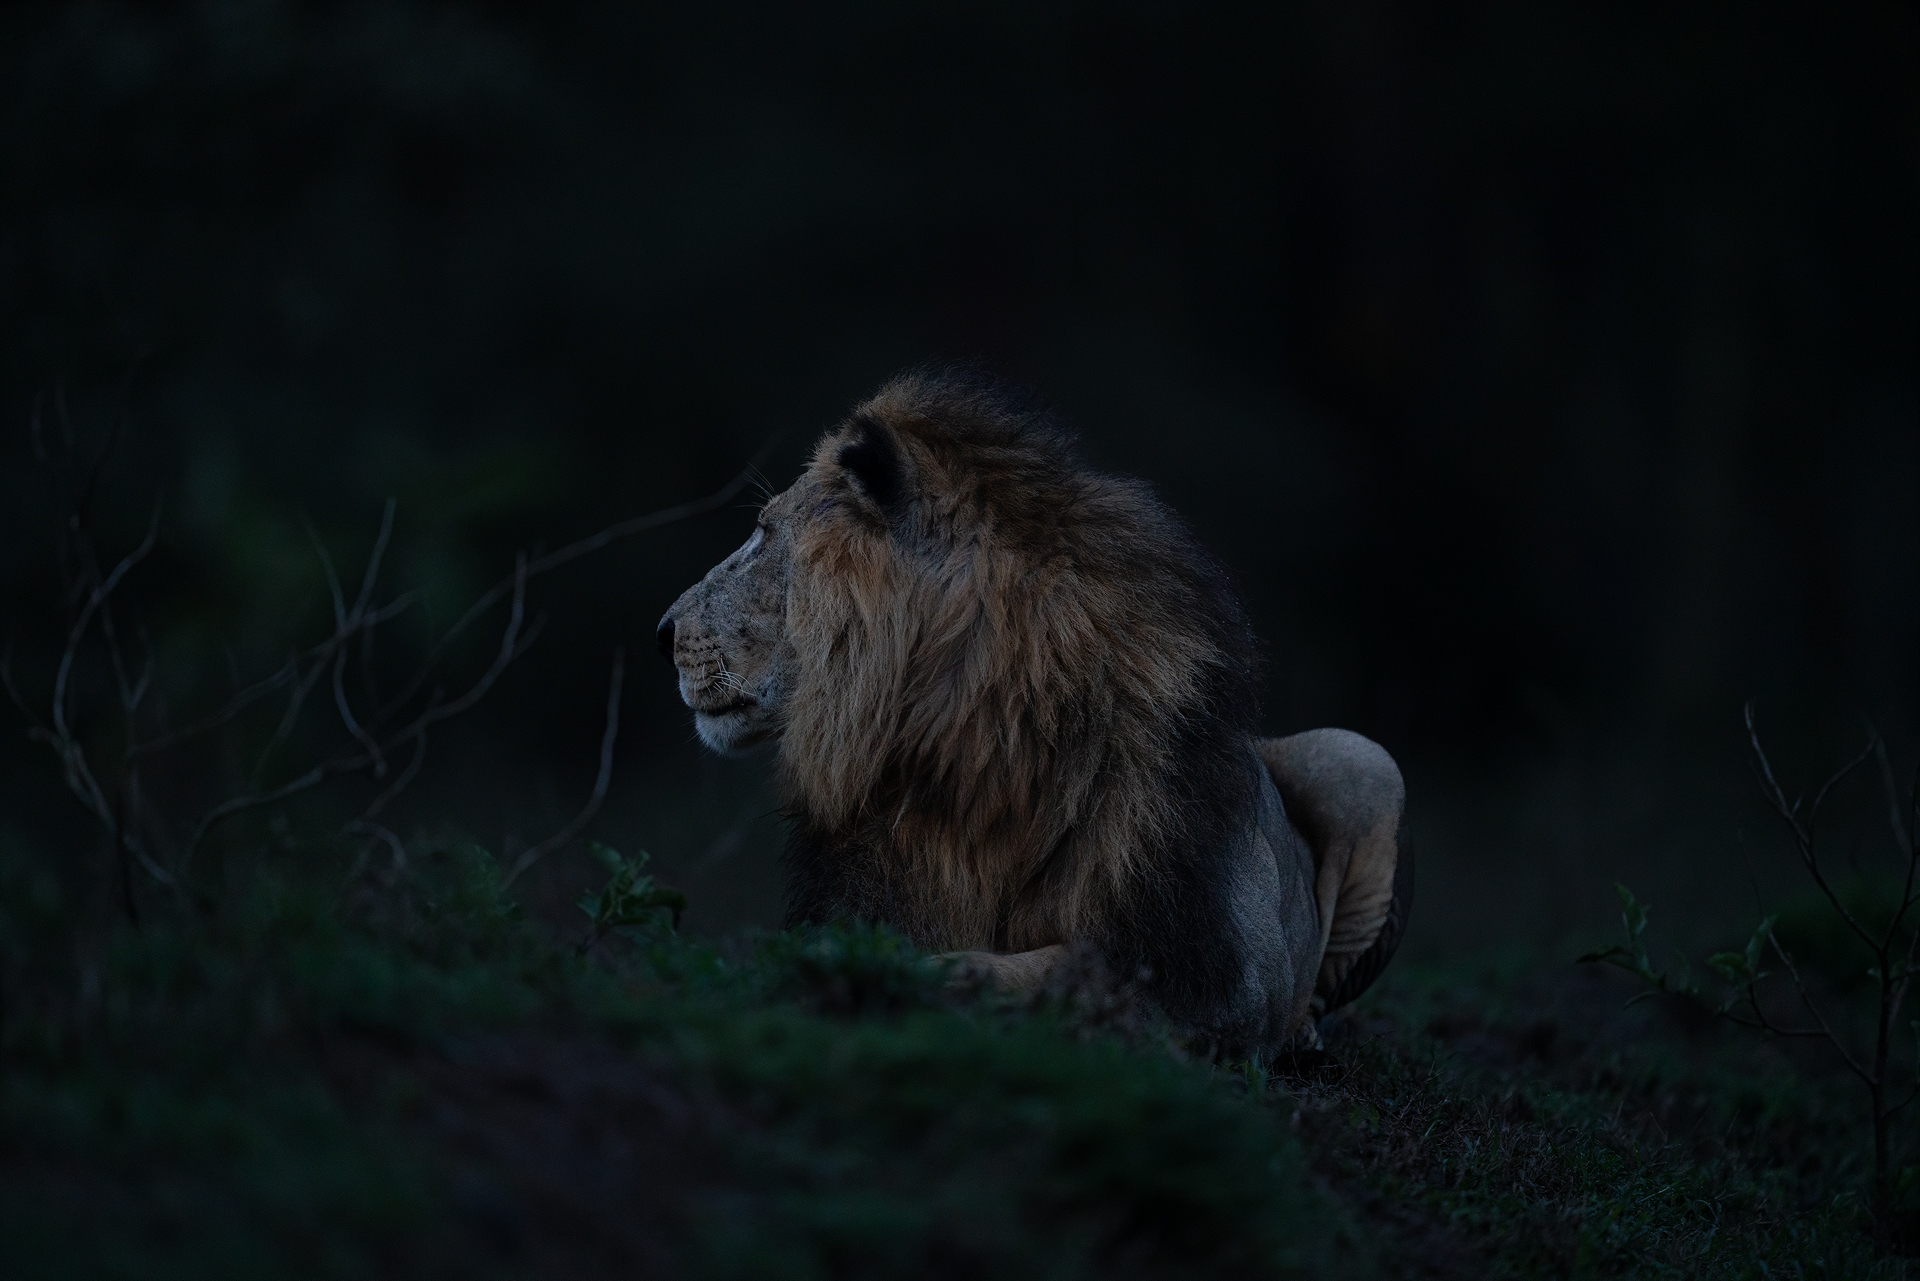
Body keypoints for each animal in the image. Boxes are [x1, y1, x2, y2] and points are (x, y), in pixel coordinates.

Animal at [657, 369, 1409, 1057]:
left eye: (762, 533)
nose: (662, 630)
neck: (968, 740)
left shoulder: (1220, 974)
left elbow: (1063, 965)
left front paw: (937, 977)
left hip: (1362, 756)